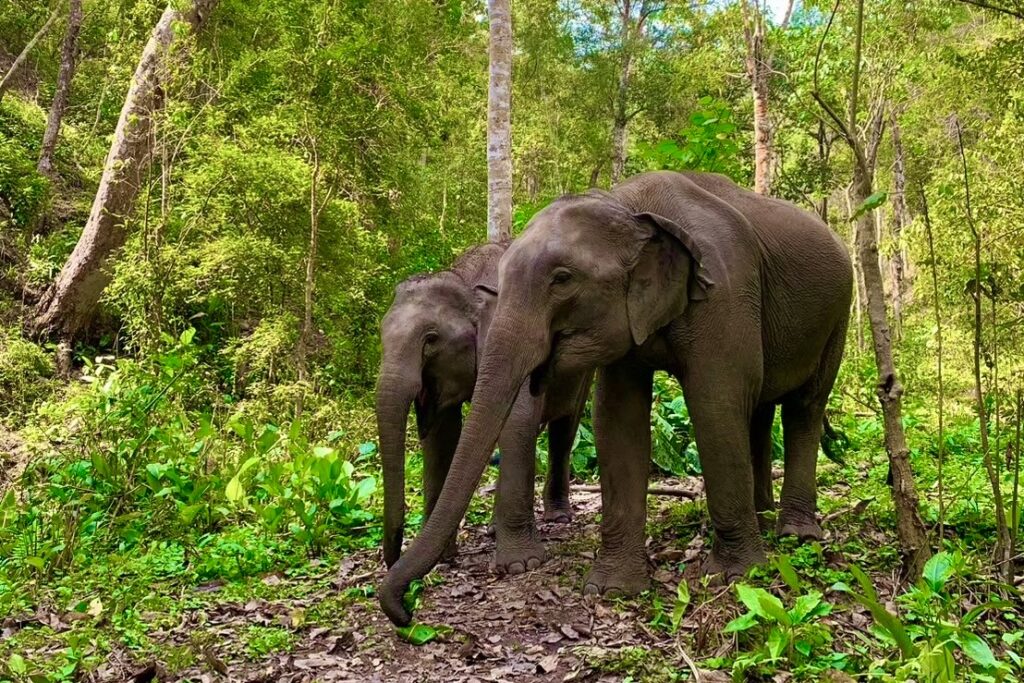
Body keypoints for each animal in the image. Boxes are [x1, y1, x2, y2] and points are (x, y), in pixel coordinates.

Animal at [376, 241, 591, 572]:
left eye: (431, 339)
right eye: (381, 335)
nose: (394, 558)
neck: (468, 283)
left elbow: (517, 422)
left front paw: (520, 565)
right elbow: (441, 440)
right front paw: (441, 559)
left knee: (564, 429)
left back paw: (558, 517)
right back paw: (492, 529)